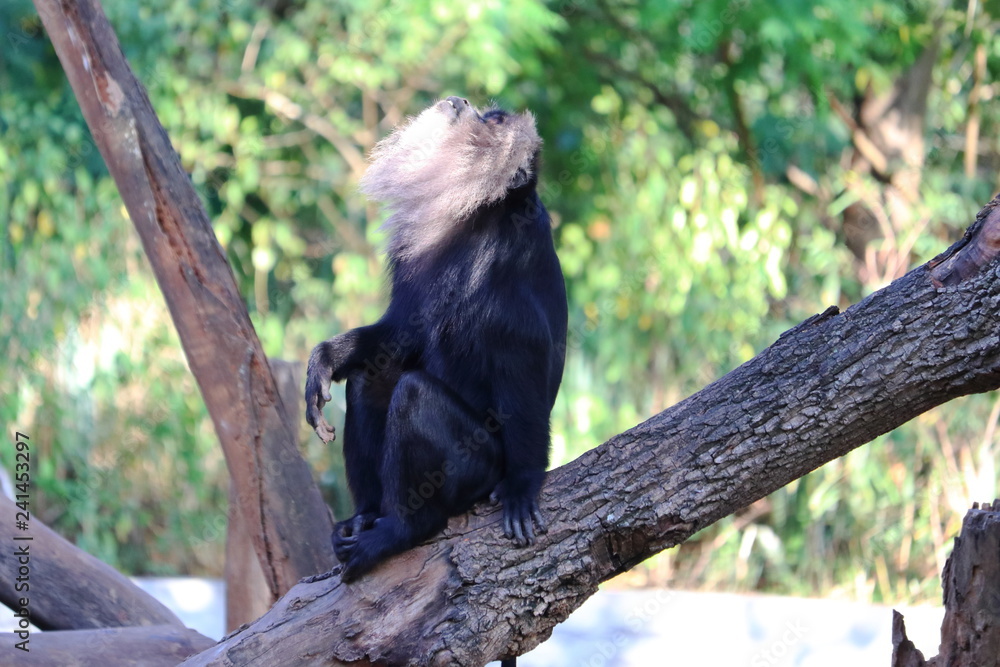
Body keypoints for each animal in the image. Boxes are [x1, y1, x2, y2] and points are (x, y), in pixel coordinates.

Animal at [305, 96, 567, 584]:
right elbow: (400, 334)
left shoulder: (502, 261)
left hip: (480, 466)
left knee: (413, 394)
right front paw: (325, 359)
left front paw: (524, 486)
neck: (476, 215)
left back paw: (403, 529)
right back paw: (366, 516)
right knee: (372, 377)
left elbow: (521, 360)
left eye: (491, 121)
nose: (460, 102)